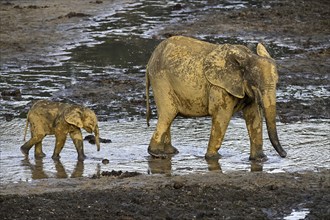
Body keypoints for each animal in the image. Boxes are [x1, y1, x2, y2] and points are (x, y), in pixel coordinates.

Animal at [146, 35, 288, 160]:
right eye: (257, 85)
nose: (285, 155)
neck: (247, 58)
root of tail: (150, 60)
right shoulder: (219, 87)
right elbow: (222, 115)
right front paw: (214, 158)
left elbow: (254, 116)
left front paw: (261, 160)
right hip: (160, 79)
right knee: (169, 112)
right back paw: (158, 154)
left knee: (169, 115)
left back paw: (171, 152)